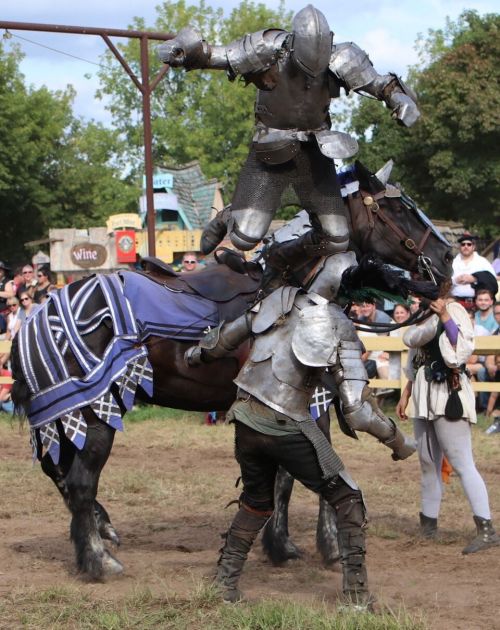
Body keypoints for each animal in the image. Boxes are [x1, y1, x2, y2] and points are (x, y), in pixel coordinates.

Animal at [11, 160, 452, 580]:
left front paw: (280, 545)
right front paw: (328, 547)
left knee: (63, 479)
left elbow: (282, 479)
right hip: (95, 414)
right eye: (400, 209)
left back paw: (102, 533)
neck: (299, 280)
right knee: (80, 483)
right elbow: (313, 472)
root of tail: (35, 319)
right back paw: (99, 561)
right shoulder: (310, 402)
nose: (446, 258)